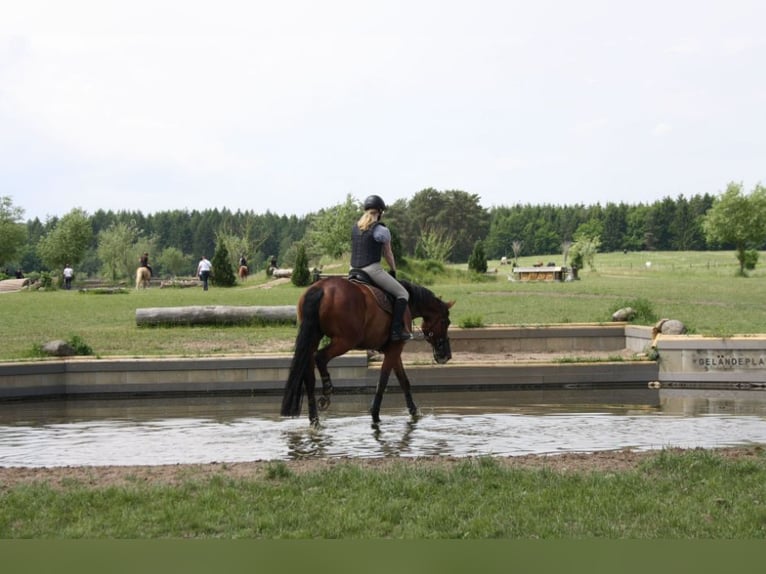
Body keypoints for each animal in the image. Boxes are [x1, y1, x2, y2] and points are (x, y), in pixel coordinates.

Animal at [284, 276, 456, 430]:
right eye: (445, 322)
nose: (446, 355)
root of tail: (321, 287)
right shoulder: (394, 350)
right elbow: (383, 382)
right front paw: (375, 415)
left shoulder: (394, 351)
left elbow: (404, 382)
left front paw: (414, 412)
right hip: (345, 341)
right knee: (320, 357)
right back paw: (327, 392)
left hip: (314, 338)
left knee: (308, 373)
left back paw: (314, 420)